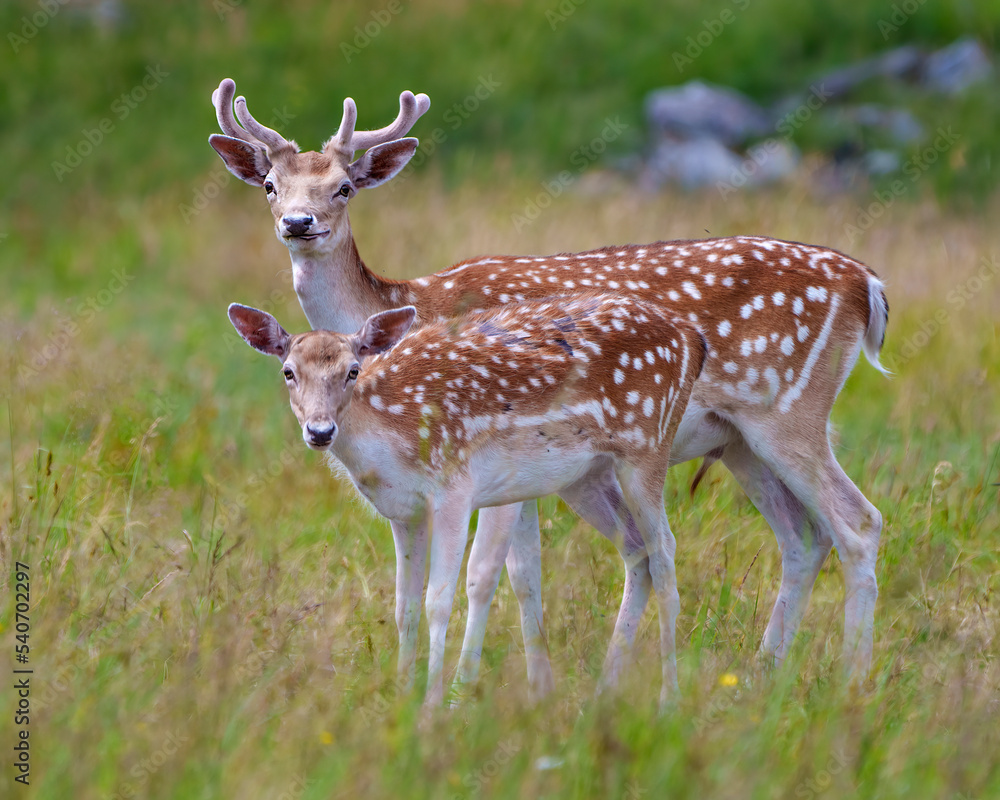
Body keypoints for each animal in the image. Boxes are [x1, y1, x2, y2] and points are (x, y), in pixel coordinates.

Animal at [228, 295, 707, 707]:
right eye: (288, 371)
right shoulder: (404, 513)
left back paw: (669, 699)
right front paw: (401, 697)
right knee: (637, 551)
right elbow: (403, 607)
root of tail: (691, 339)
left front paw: (432, 708)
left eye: (352, 370)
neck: (393, 438)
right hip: (584, 477)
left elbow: (439, 602)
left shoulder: (454, 489)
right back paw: (603, 693)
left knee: (665, 551)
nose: (320, 430)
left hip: (647, 443)